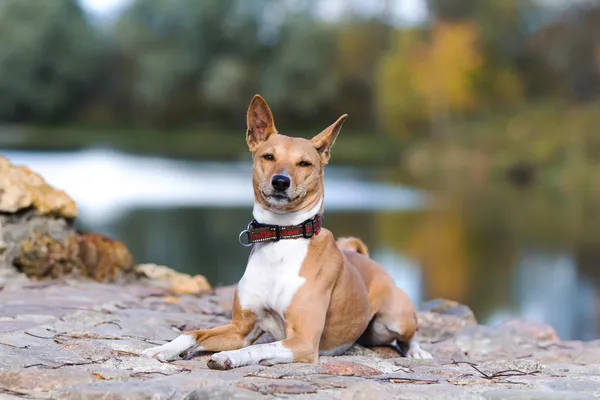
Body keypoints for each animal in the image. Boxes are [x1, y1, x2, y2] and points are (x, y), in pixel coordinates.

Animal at [141, 94, 432, 368]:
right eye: (268, 156)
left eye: (304, 163)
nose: (280, 181)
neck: (282, 235)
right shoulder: (240, 329)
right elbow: (193, 333)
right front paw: (163, 349)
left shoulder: (302, 341)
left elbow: (258, 348)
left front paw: (229, 357)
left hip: (394, 320)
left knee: (409, 336)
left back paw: (418, 352)